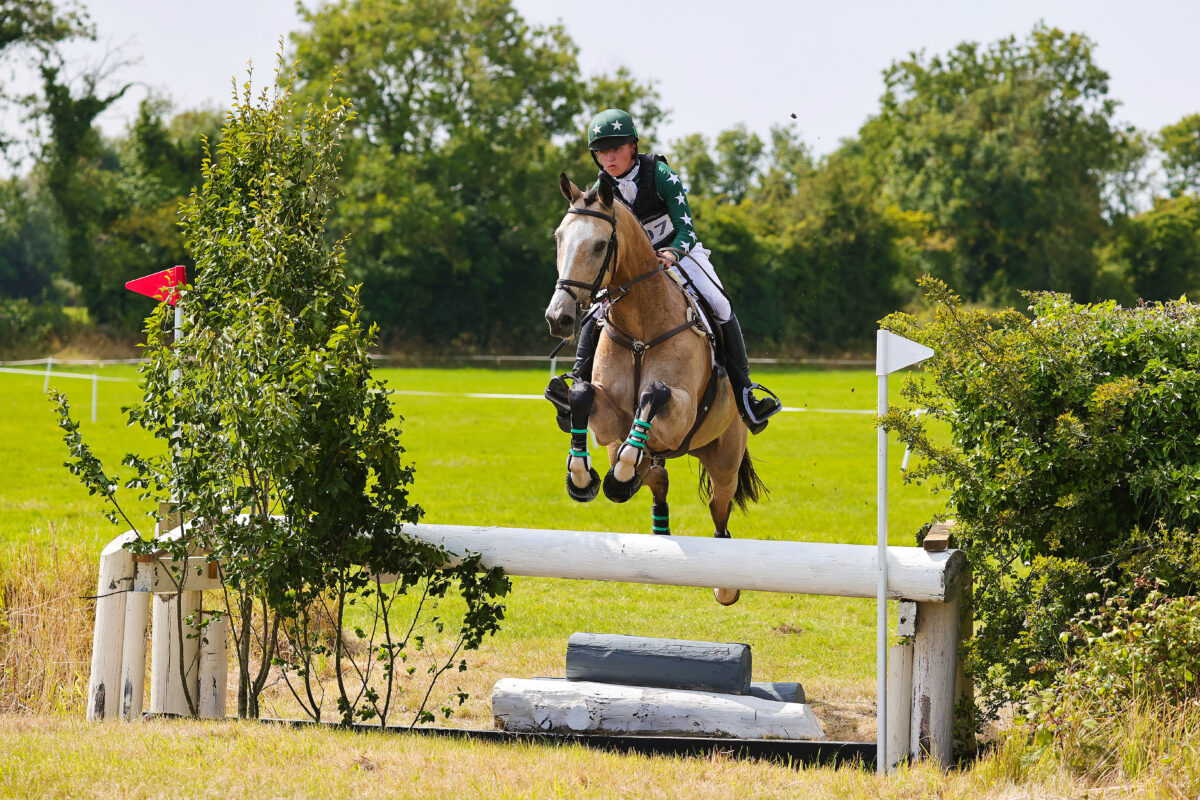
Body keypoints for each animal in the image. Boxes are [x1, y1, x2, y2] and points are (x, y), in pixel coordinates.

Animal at [544, 173, 766, 605]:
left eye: (600, 245)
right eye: (559, 238)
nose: (558, 318)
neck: (640, 328)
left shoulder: (680, 413)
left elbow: (656, 392)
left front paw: (615, 473)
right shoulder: (609, 422)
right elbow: (583, 396)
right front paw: (582, 478)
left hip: (724, 458)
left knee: (719, 509)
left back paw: (726, 584)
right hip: (652, 455)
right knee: (656, 480)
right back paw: (648, 515)